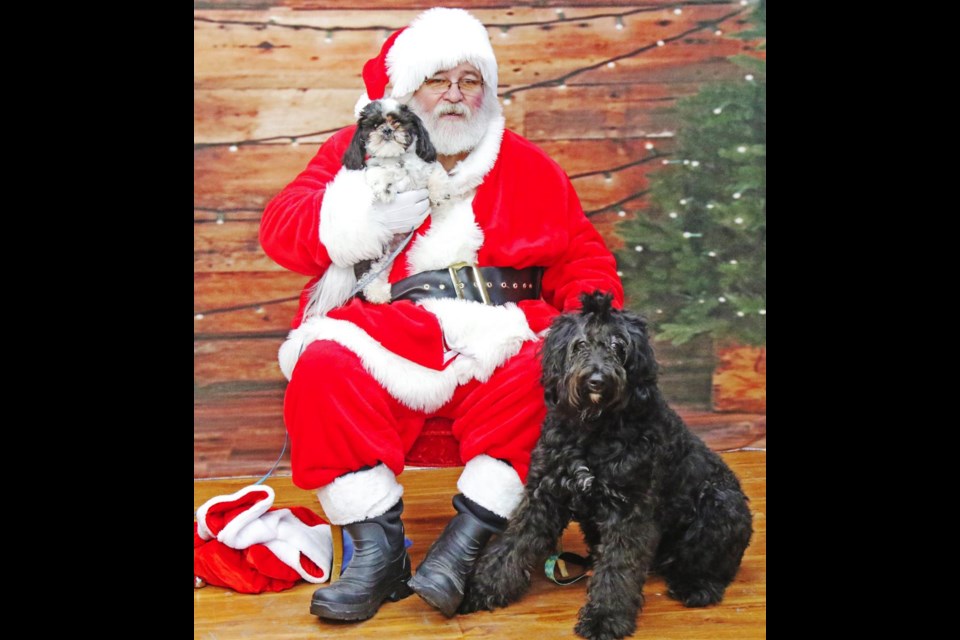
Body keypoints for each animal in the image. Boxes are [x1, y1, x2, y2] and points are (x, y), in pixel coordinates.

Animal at [462, 292, 752, 640]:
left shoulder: (628, 511)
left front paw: (605, 618)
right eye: (580, 344)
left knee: (715, 565)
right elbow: (513, 543)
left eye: (619, 345)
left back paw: (696, 586)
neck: (592, 430)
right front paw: (483, 588)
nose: (597, 379)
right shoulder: (544, 495)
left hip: (721, 504)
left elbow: (618, 568)